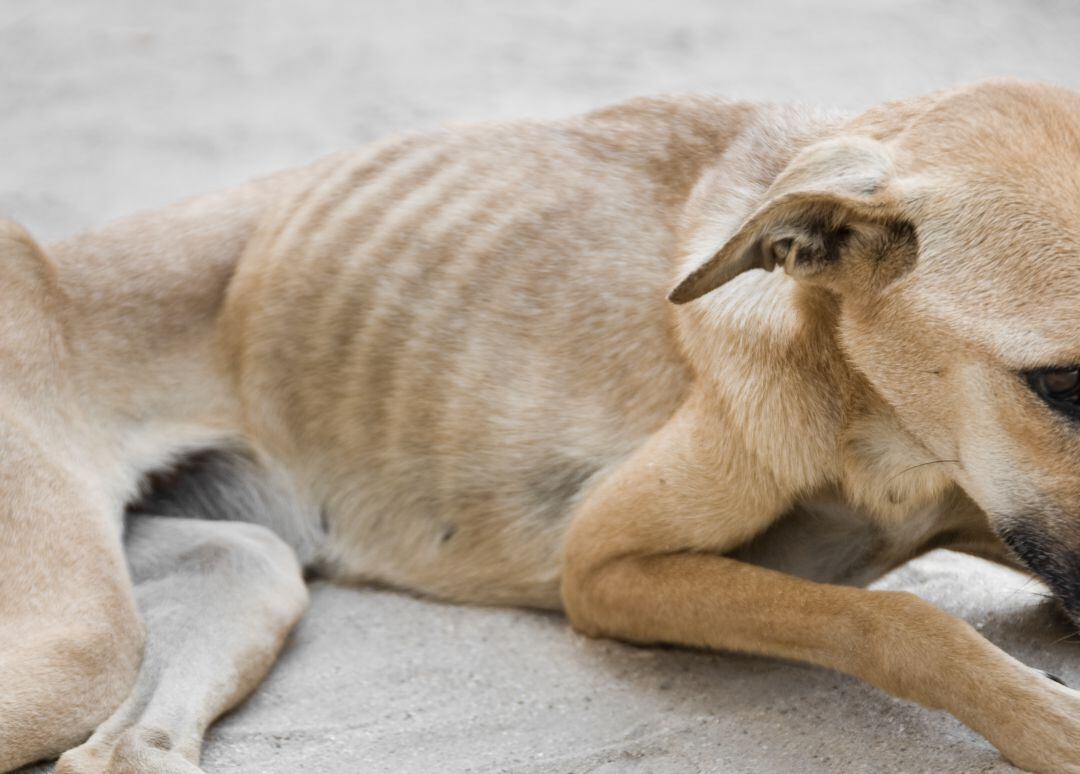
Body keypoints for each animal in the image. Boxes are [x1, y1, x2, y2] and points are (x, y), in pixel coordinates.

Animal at [2, 79, 1080, 772]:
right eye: (1062, 384)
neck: (877, 416)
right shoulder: (605, 566)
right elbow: (897, 619)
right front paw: (1046, 720)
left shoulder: (1006, 520)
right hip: (83, 637)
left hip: (241, 571)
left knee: (125, 749)